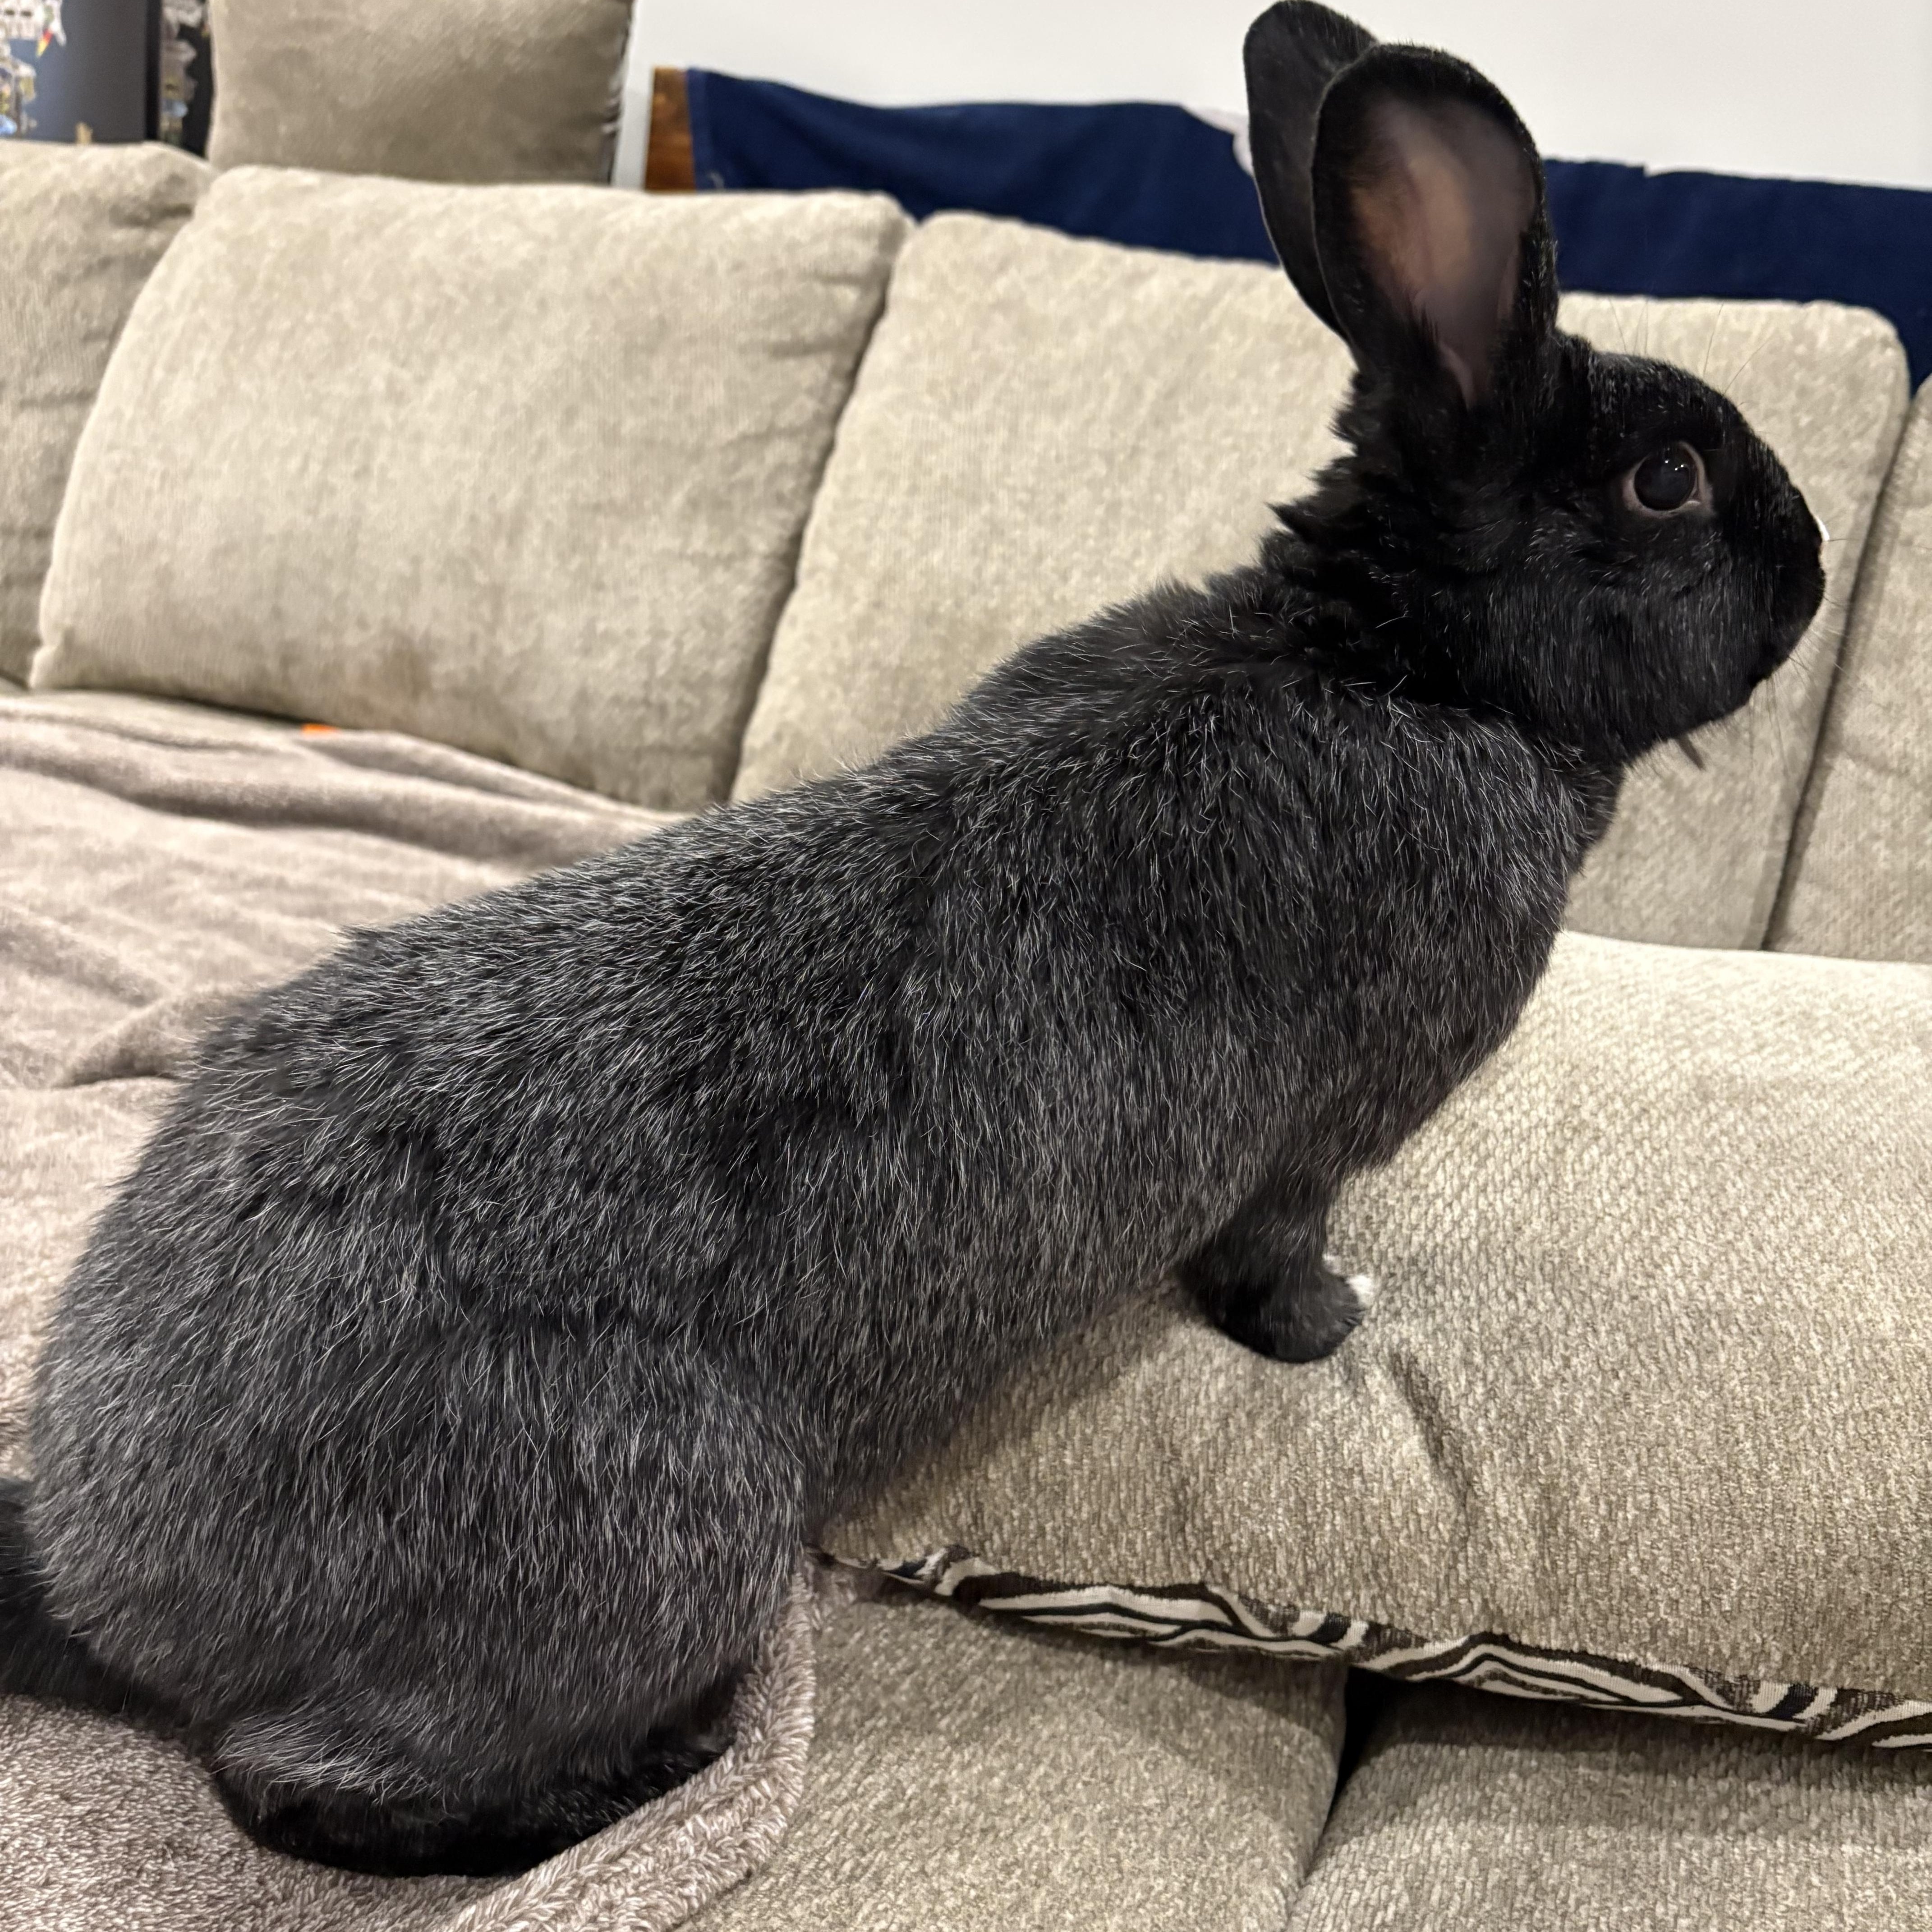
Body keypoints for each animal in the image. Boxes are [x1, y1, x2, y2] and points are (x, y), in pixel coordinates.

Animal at [2, 0, 1824, 1881]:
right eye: (1669, 479)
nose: (1820, 565)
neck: (1406, 659)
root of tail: (113, 1567)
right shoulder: (1310, 1141)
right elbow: (1270, 1251)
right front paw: (1332, 1326)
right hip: (658, 1532)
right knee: (299, 1781)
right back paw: (629, 1782)